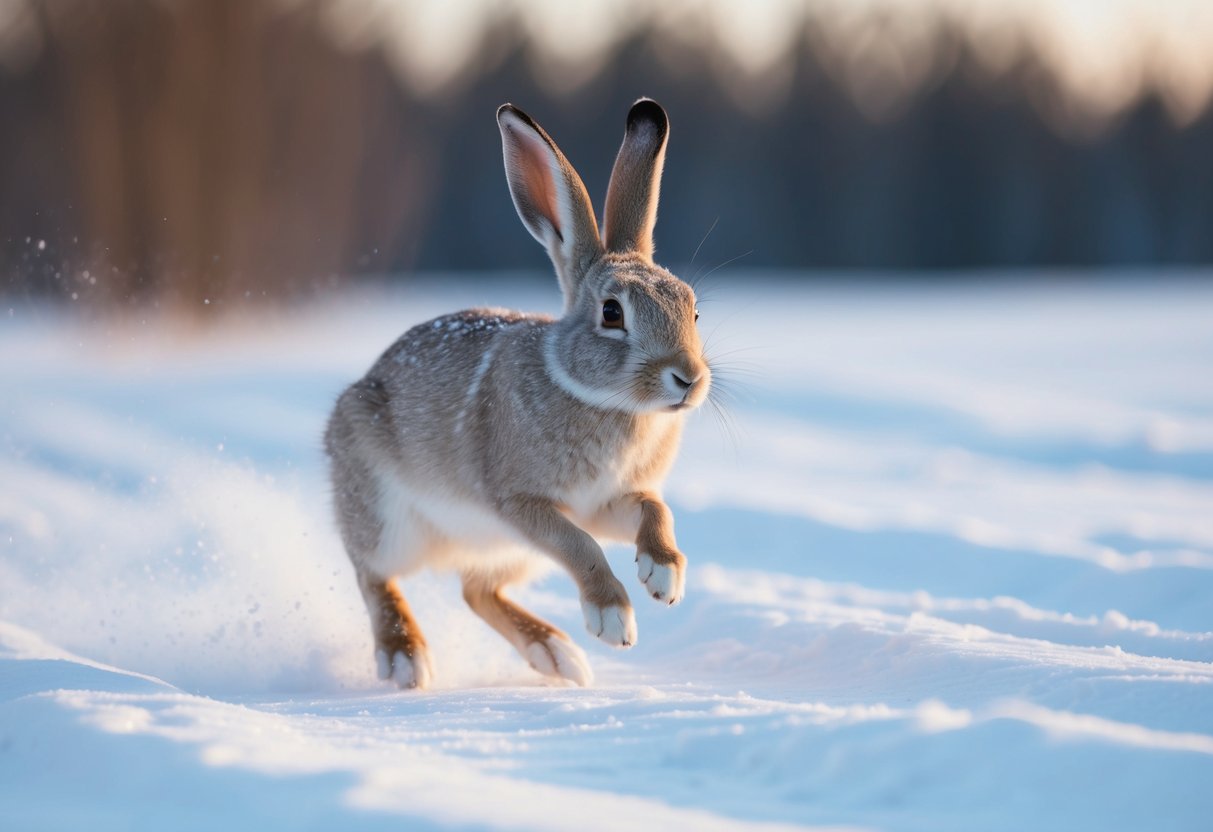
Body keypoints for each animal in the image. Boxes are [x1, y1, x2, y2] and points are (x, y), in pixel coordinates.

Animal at [325, 98, 710, 689]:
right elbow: (580, 546)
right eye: (612, 313)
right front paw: (612, 618)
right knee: (374, 576)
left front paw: (664, 575)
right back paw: (407, 659)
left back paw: (557, 654)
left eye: (693, 310)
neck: (607, 403)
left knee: (475, 591)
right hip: (386, 510)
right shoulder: (522, 503)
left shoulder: (604, 502)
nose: (688, 378)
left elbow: (654, 510)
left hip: (507, 553)